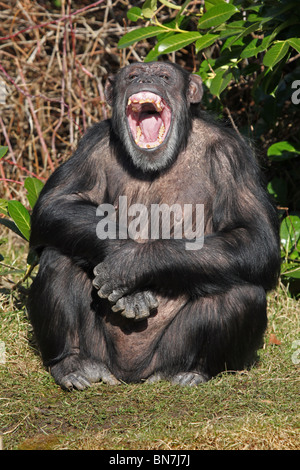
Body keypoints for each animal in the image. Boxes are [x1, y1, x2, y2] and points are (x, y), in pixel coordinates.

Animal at [27, 61, 280, 390]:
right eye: (132, 76)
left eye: (164, 76)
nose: (145, 79)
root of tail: (130, 374)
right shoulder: (92, 144)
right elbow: (56, 204)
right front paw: (123, 261)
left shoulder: (232, 155)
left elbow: (255, 236)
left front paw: (131, 264)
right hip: (101, 351)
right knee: (58, 258)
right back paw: (73, 364)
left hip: (168, 353)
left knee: (241, 291)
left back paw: (190, 372)